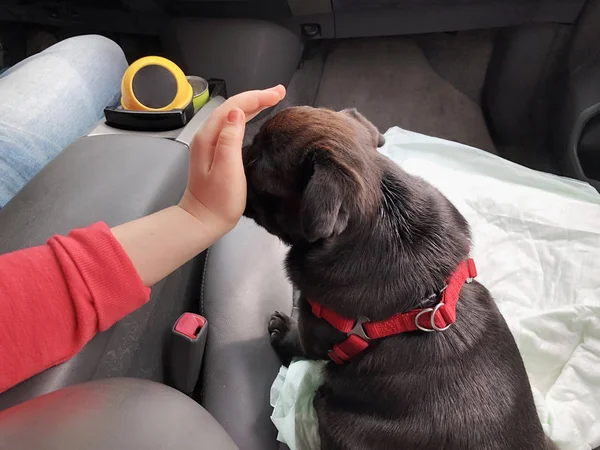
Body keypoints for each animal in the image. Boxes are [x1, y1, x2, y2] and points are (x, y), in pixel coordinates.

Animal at [241, 106, 556, 450]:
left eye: (256, 167)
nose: (236, 149)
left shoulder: (317, 331)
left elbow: (297, 340)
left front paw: (282, 329)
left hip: (339, 423)